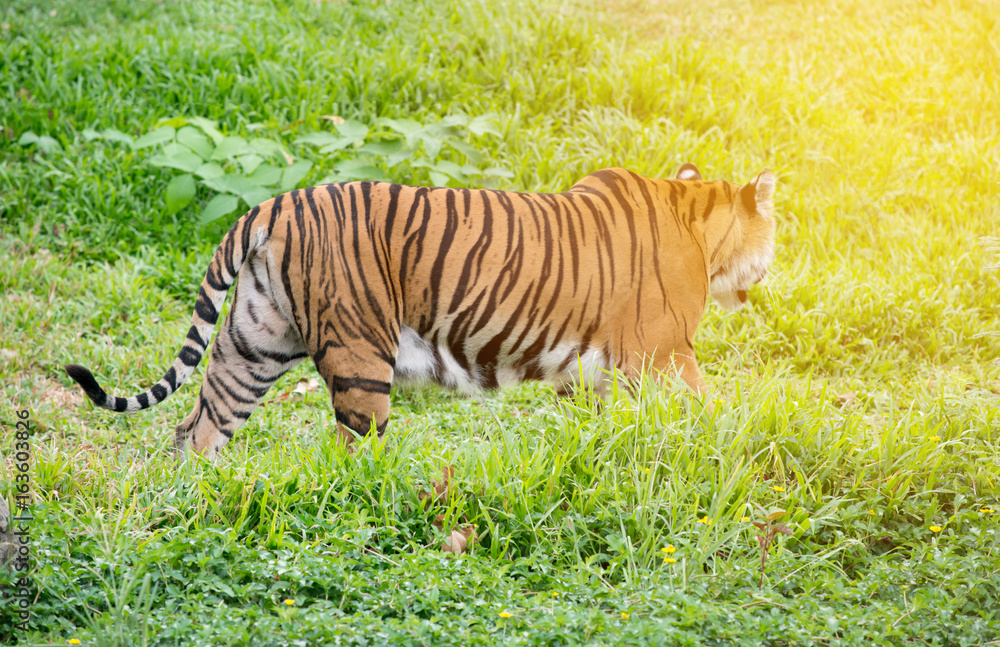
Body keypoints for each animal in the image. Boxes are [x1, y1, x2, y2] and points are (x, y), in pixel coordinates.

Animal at [66, 165, 776, 464]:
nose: (769, 272)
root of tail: (274, 204)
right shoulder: (665, 353)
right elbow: (708, 409)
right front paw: (726, 446)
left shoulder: (599, 368)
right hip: (359, 357)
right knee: (352, 449)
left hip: (255, 342)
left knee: (199, 427)